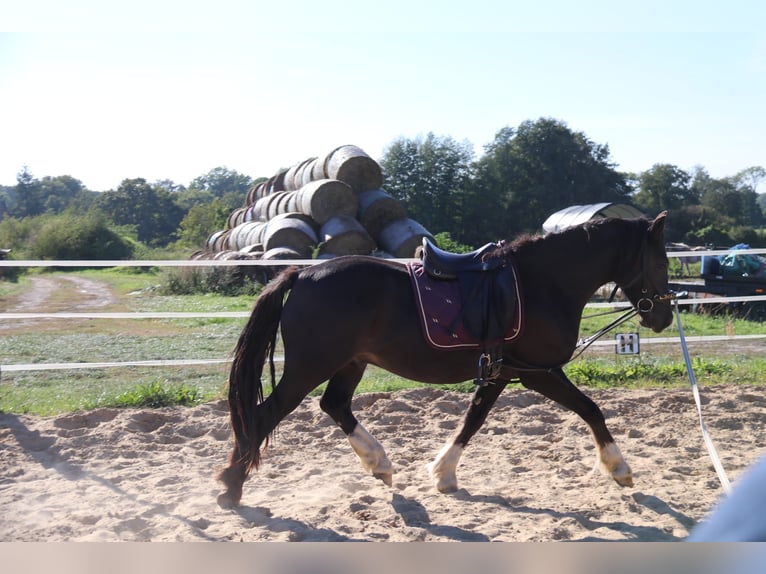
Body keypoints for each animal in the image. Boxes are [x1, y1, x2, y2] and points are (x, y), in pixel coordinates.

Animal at [217, 211, 672, 508]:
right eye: (662, 261)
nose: (664, 316)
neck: (542, 284)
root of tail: (301, 274)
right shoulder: (538, 373)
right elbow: (591, 409)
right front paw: (619, 468)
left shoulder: (502, 372)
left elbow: (473, 419)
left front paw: (443, 473)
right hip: (310, 367)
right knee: (264, 415)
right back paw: (231, 489)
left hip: (350, 363)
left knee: (335, 405)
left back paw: (378, 463)